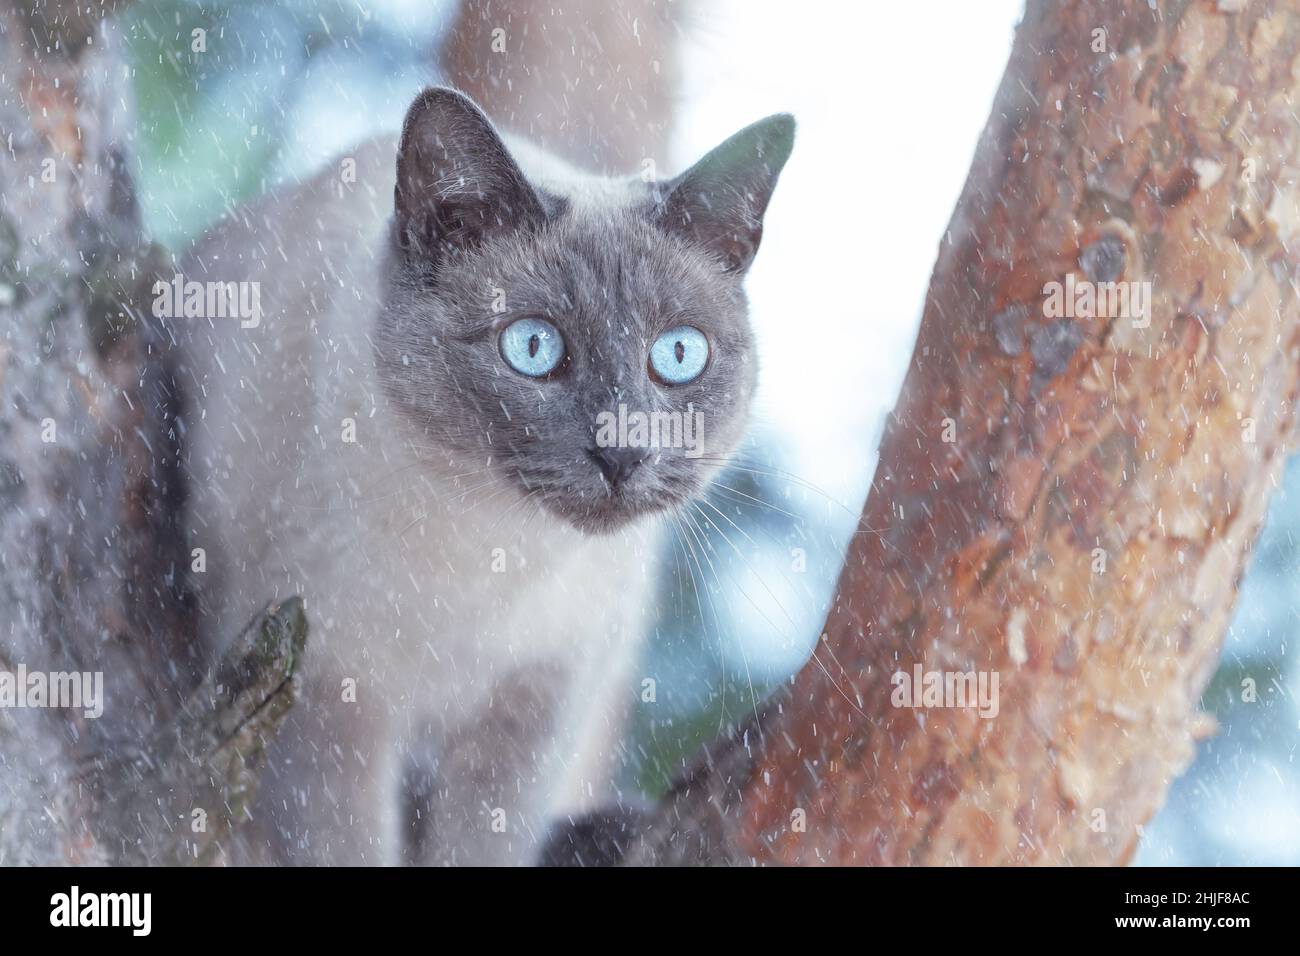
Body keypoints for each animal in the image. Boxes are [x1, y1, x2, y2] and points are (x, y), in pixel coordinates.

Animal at [175, 87, 790, 868]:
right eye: (532, 347)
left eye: (678, 355)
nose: (622, 454)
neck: (492, 558)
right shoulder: (329, 700)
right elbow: (347, 844)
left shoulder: (535, 707)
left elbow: (482, 843)